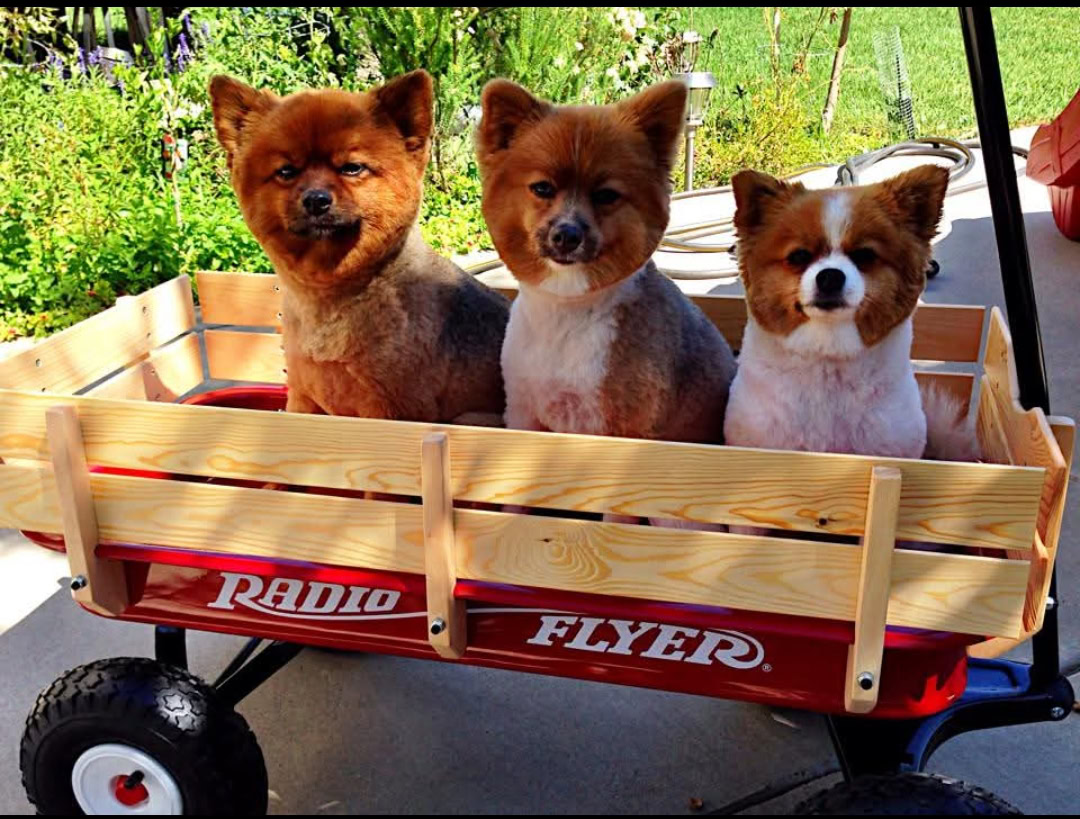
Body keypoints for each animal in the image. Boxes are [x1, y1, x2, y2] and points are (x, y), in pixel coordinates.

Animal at [216, 70, 514, 423]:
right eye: (286, 172)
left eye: (352, 168)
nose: (316, 200)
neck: (332, 299)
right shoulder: (303, 399)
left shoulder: (391, 410)